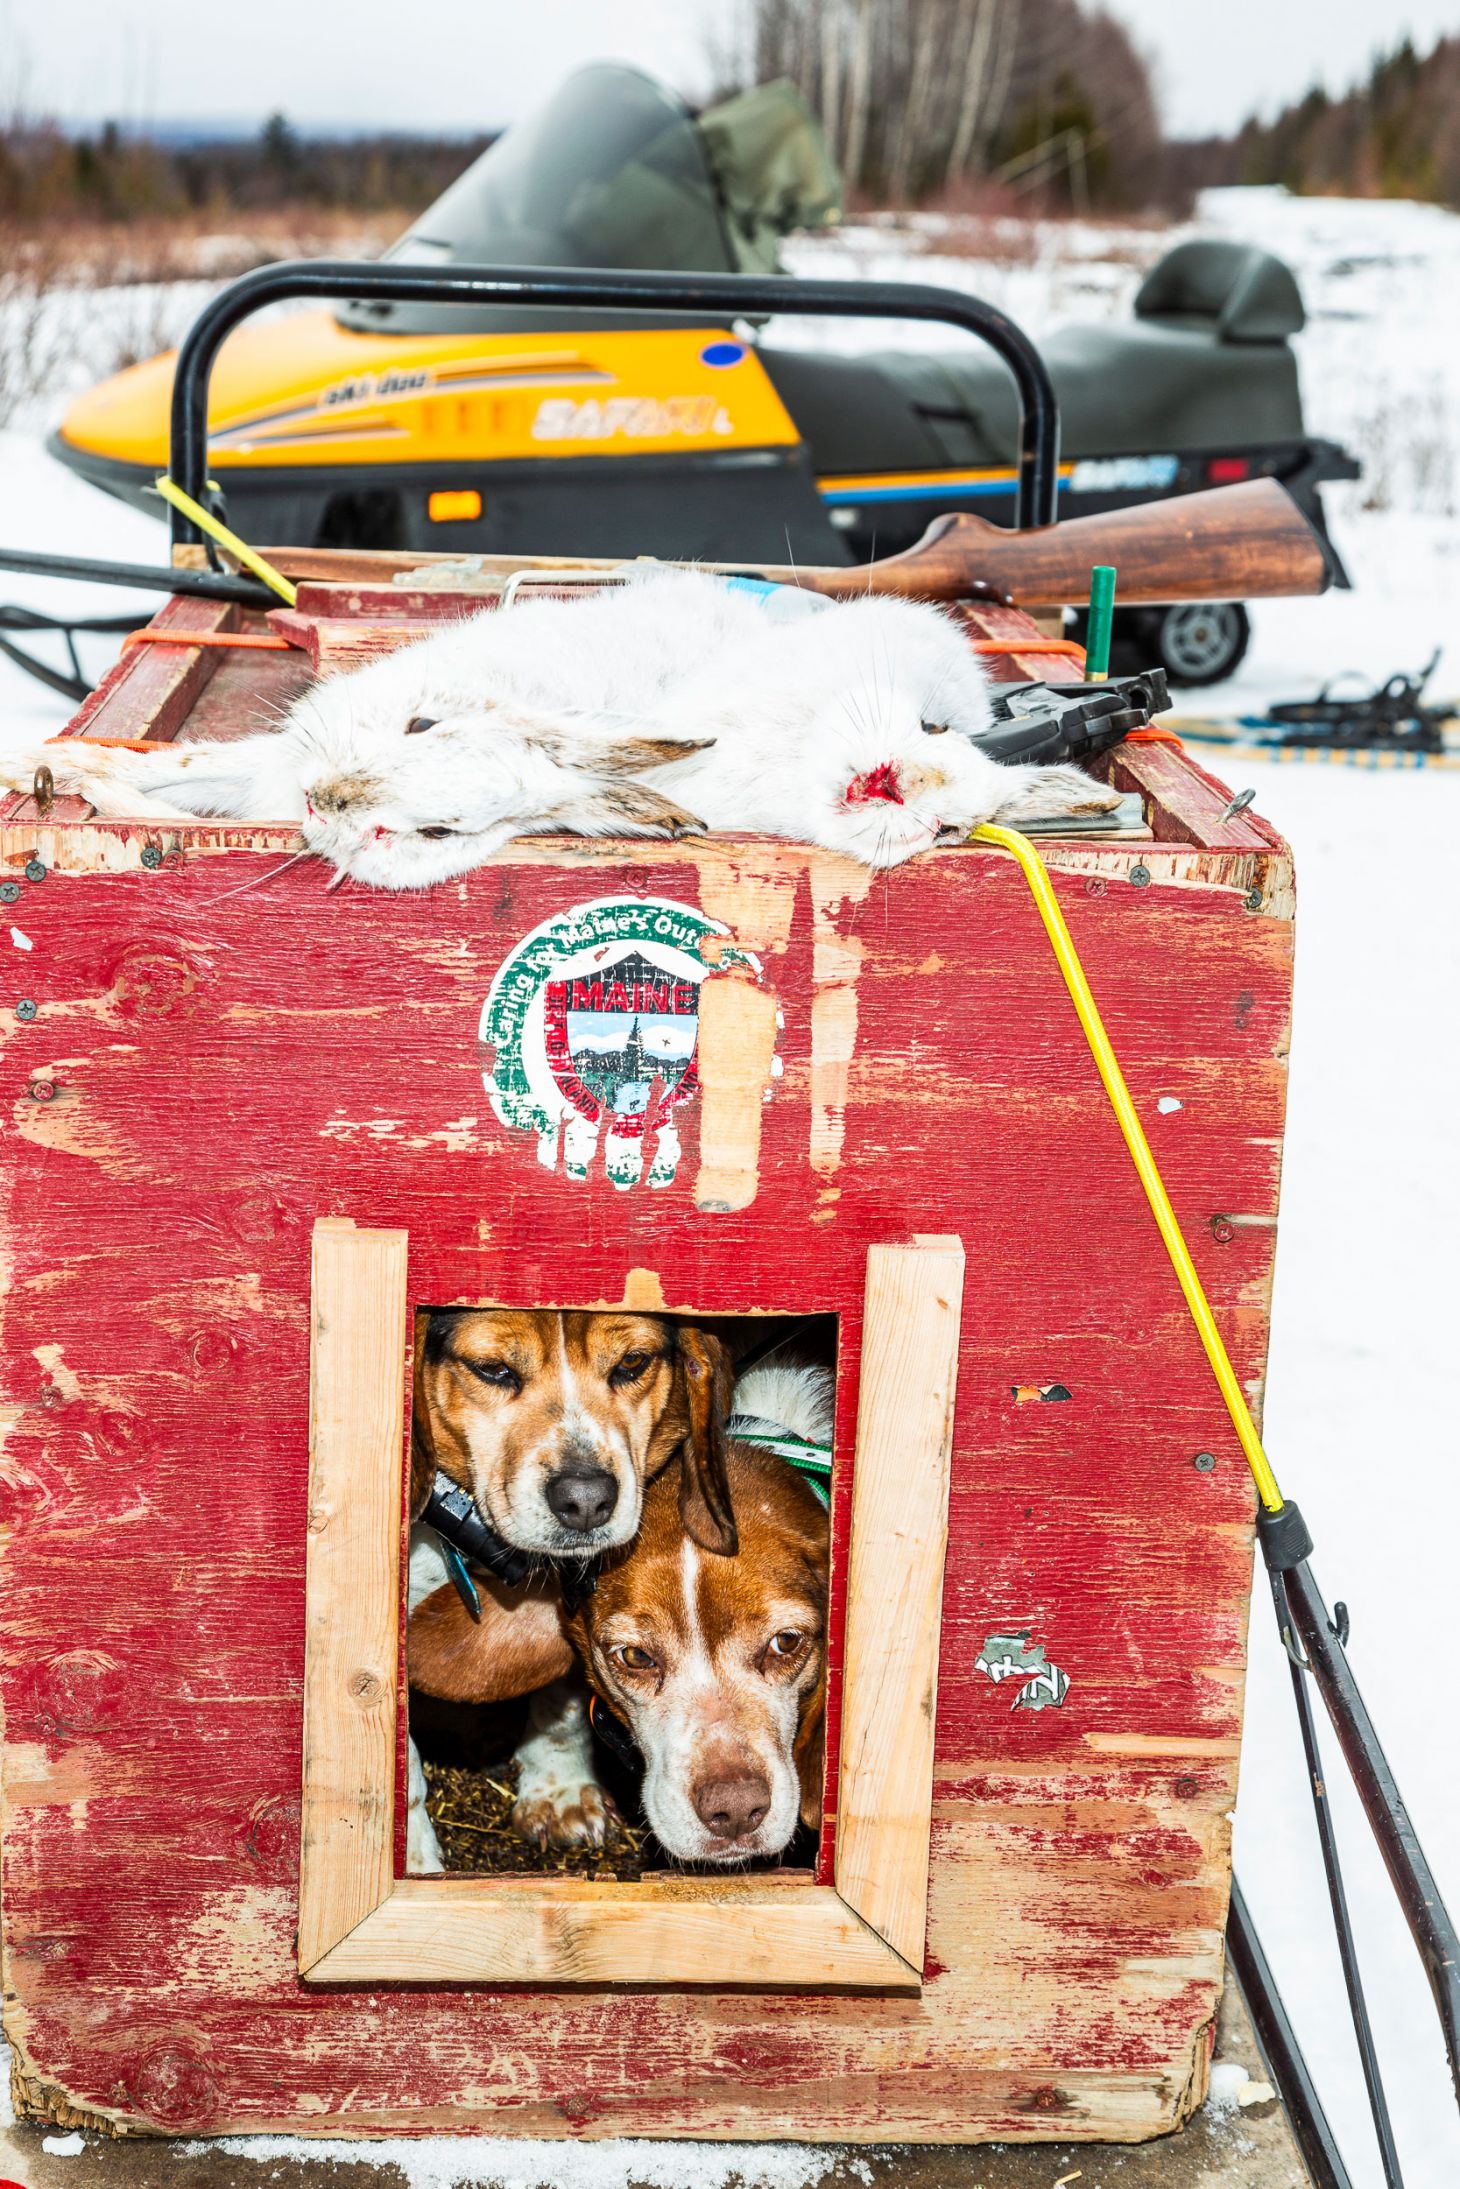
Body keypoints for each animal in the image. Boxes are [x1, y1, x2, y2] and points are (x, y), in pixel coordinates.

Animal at [11, 571, 1117, 886]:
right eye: (417, 720)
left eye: (440, 832)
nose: (922, 792)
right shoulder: (267, 764)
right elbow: (180, 768)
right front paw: (49, 765)